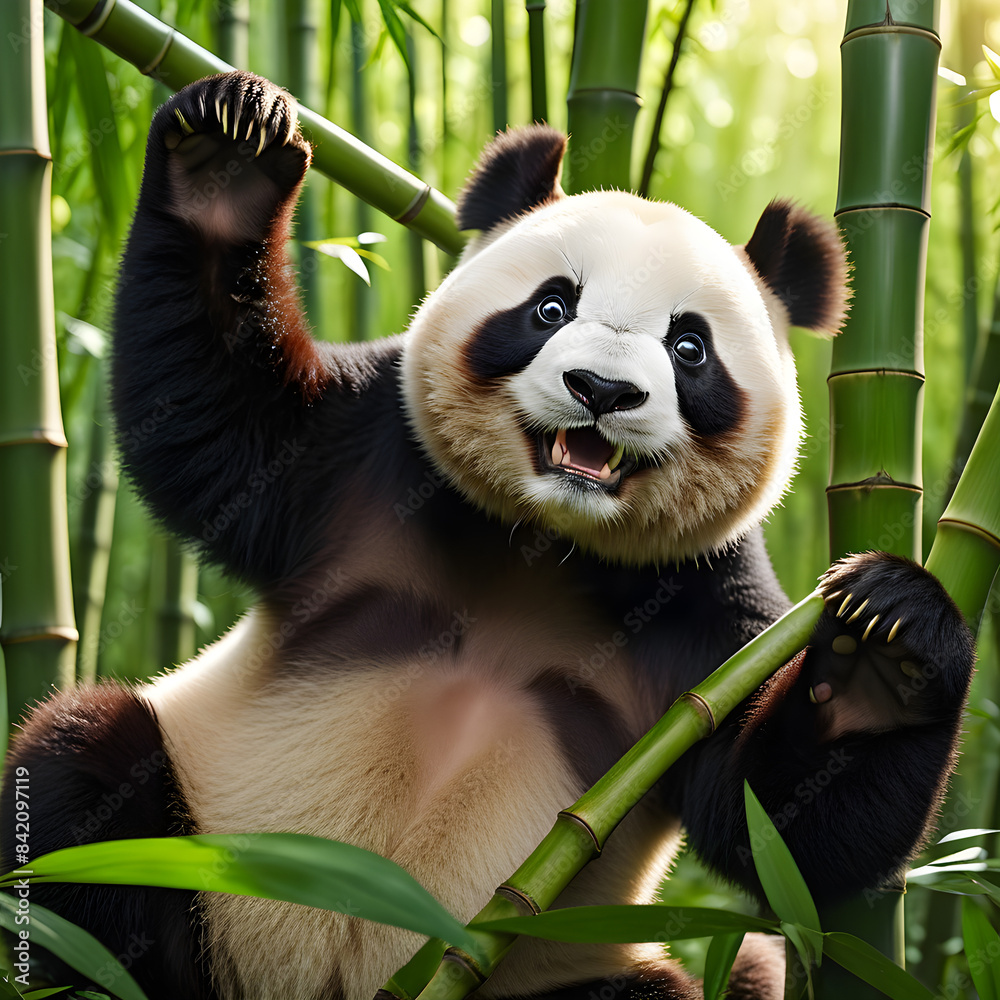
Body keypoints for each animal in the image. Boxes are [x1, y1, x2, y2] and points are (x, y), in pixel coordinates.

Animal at [2, 71, 975, 1000]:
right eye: (550, 308)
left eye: (689, 348)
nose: (601, 390)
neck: (540, 543)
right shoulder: (362, 465)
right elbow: (217, 428)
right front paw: (230, 150)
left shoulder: (708, 616)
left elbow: (776, 823)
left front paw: (884, 651)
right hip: (193, 847)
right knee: (82, 781)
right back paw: (97, 971)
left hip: (562, 967)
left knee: (722, 975)